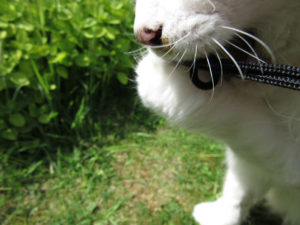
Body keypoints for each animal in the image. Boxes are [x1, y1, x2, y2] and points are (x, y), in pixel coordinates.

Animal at [134, 0, 300, 225]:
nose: (143, 35)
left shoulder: (289, 154)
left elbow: (247, 126)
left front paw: (159, 82)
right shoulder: (255, 163)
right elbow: (240, 185)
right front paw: (222, 214)